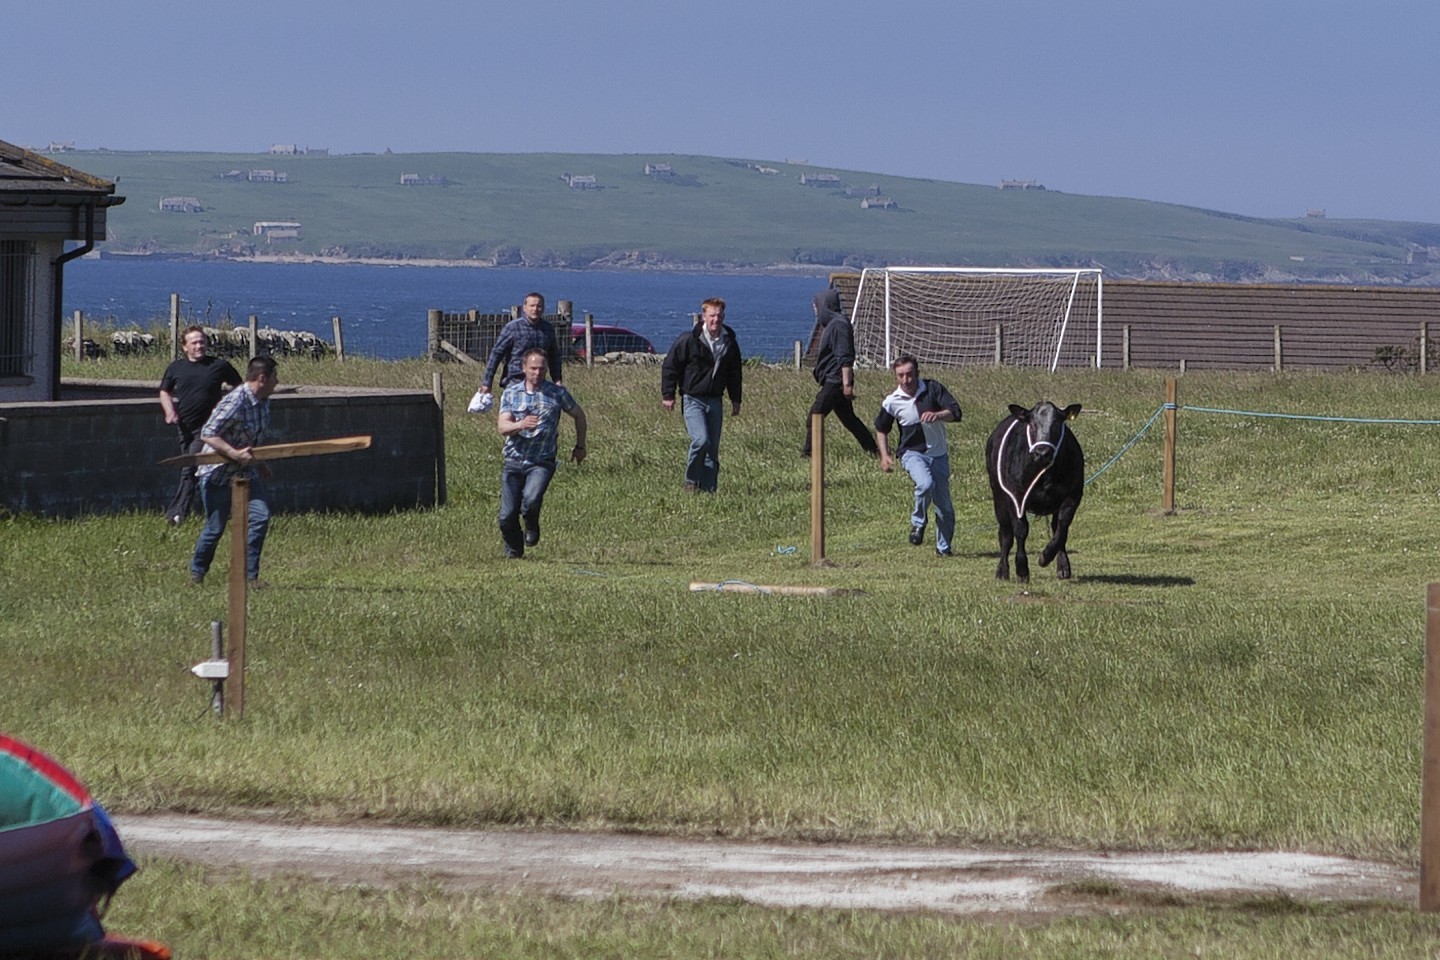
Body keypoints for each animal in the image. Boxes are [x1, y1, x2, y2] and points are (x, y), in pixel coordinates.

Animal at [984, 402, 1082, 581]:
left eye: (1057, 424)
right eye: (1032, 425)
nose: (1042, 452)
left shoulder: (1072, 496)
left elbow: (1062, 528)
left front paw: (1048, 557)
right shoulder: (1015, 497)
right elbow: (1021, 530)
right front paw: (1022, 570)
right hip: (998, 497)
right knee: (1005, 535)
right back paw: (1002, 571)